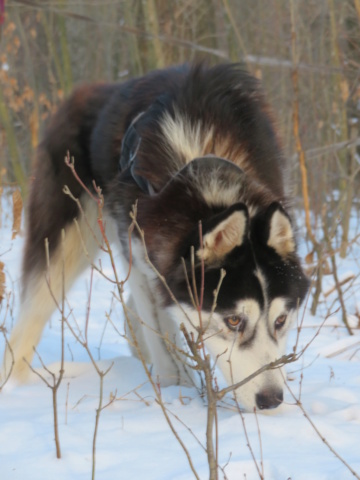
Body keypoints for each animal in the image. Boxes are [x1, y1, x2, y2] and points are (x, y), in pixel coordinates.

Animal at [0, 62, 310, 408]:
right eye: (233, 321)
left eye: (281, 321)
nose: (271, 399)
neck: (200, 164)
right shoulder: (141, 257)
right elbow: (164, 340)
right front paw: (178, 393)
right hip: (66, 243)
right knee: (34, 312)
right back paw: (17, 386)